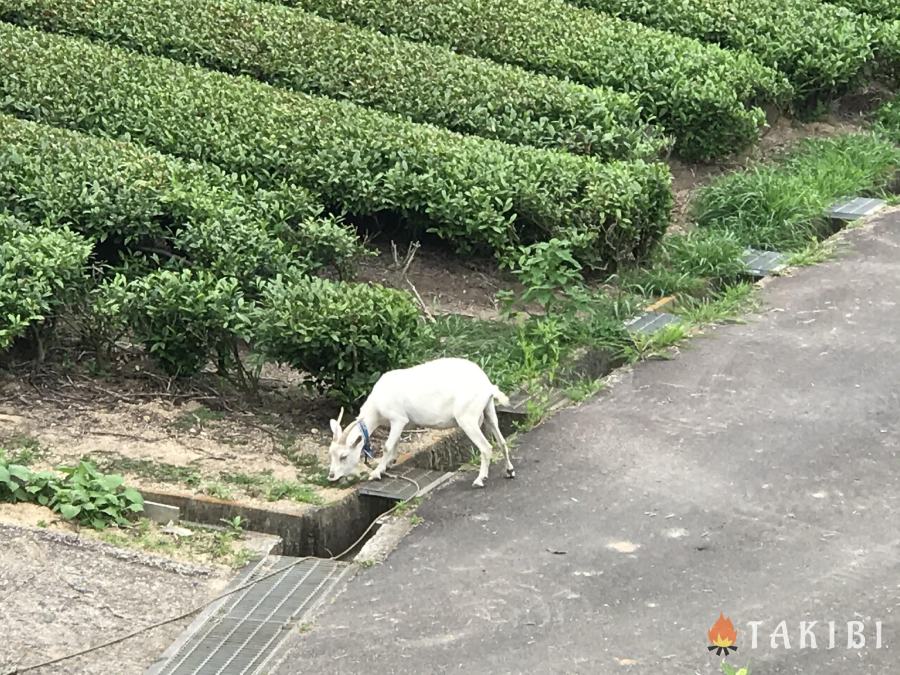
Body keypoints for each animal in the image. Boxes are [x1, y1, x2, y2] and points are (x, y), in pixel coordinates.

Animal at [328, 356, 512, 488]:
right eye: (331, 454)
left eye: (344, 456)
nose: (331, 476)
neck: (376, 405)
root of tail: (487, 386)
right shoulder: (401, 424)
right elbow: (395, 444)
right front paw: (389, 463)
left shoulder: (397, 418)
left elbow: (387, 446)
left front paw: (376, 472)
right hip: (489, 410)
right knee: (501, 440)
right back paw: (509, 470)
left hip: (467, 418)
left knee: (486, 447)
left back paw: (480, 479)